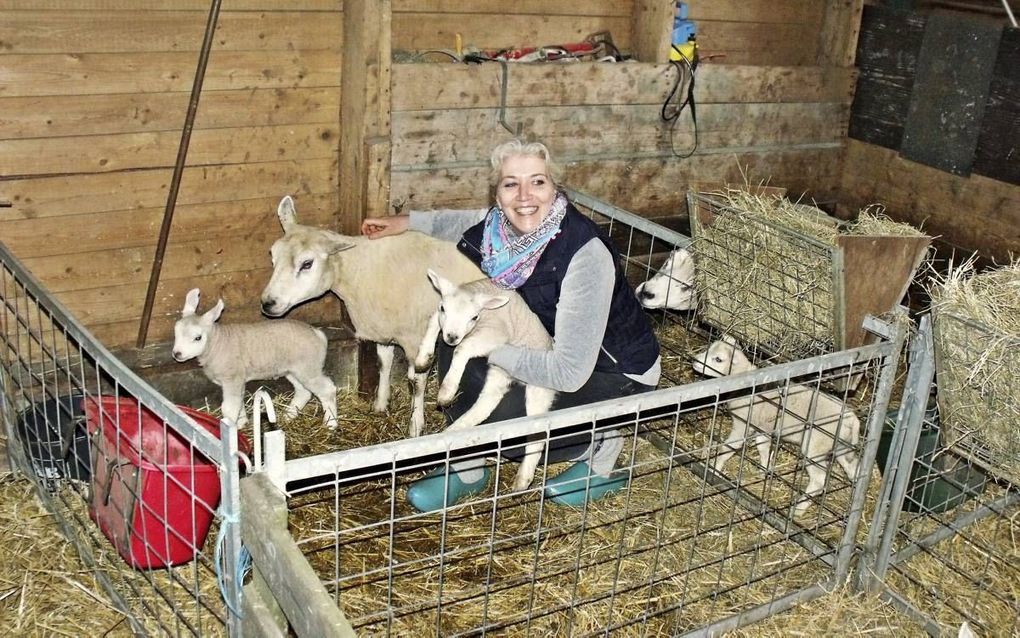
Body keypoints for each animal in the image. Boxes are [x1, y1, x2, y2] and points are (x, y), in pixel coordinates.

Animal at [172, 287, 338, 428]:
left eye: (198, 338)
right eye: (176, 332)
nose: (177, 354)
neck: (217, 343)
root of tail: (318, 333)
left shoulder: (232, 378)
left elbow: (229, 408)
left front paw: (231, 427)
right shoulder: (237, 380)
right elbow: (239, 402)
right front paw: (241, 423)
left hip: (308, 367)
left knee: (327, 390)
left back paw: (330, 424)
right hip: (293, 369)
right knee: (304, 391)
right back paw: (288, 415)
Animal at [259, 197, 481, 434]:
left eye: (307, 264)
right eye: (272, 256)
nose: (268, 303)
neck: (360, 271)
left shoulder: (415, 338)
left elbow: (416, 382)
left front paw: (415, 425)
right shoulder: (383, 326)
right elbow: (383, 363)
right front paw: (380, 404)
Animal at [414, 267, 554, 487]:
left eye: (474, 317)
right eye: (444, 308)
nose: (451, 337)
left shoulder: (496, 333)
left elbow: (462, 348)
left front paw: (447, 391)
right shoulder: (441, 317)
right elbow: (433, 322)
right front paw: (423, 359)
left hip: (539, 387)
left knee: (539, 432)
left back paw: (523, 479)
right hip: (499, 373)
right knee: (486, 404)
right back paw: (450, 434)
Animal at [693, 336, 860, 514]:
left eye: (718, 359)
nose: (695, 361)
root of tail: (852, 419)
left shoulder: (743, 424)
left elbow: (728, 447)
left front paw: (713, 468)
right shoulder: (762, 428)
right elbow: (762, 447)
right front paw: (764, 470)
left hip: (816, 447)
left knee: (819, 480)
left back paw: (798, 510)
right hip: (842, 445)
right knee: (852, 466)